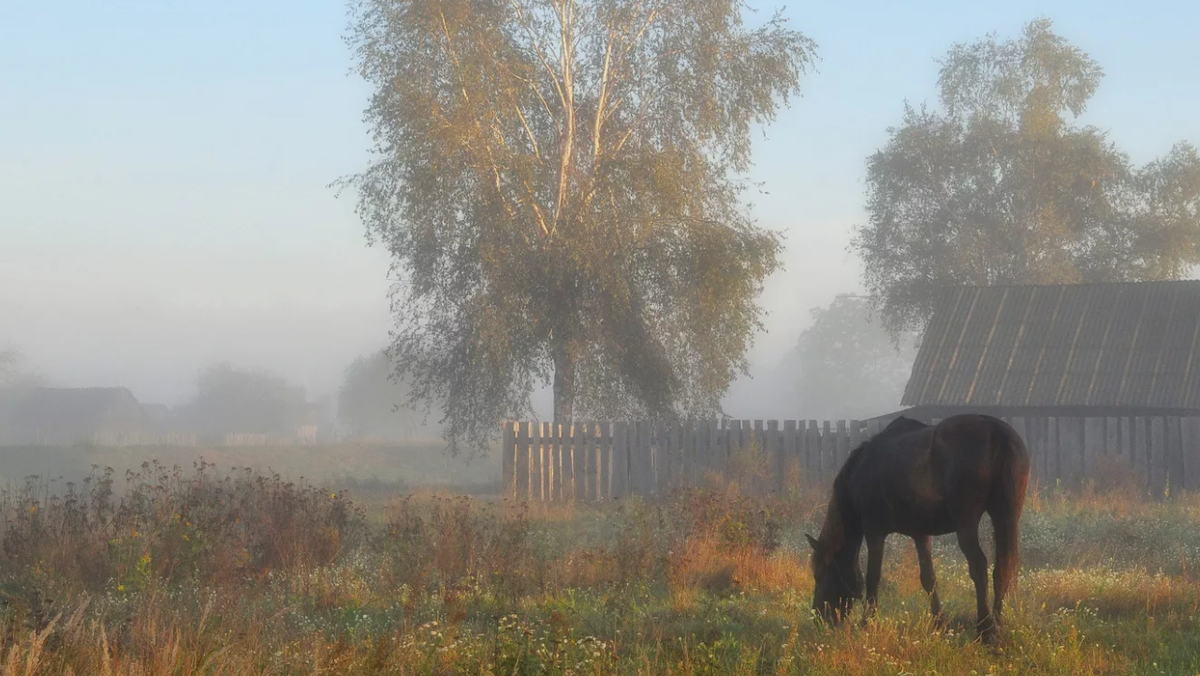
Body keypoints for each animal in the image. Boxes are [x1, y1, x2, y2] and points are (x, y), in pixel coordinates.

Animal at [806, 415, 1032, 643]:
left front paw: (867, 622)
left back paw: (985, 629)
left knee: (979, 566)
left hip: (967, 524)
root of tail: (996, 431)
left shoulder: (874, 532)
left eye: (820, 573)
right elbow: (929, 578)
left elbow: (873, 577)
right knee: (1002, 568)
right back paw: (998, 624)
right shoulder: (920, 534)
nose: (818, 618)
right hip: (1005, 516)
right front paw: (939, 622)